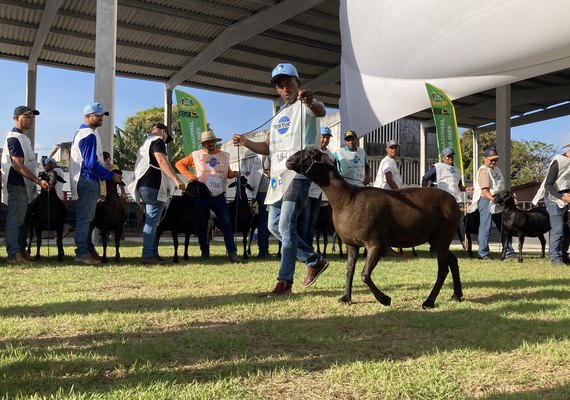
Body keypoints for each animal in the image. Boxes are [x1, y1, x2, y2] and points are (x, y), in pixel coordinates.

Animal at [286, 150, 464, 310]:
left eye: (311, 154)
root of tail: (455, 203)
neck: (346, 199)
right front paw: (345, 298)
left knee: (443, 270)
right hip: (437, 239)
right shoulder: (352, 244)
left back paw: (429, 302)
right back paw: (457, 295)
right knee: (453, 262)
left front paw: (385, 299)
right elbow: (350, 270)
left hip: (443, 236)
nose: (289, 160)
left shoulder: (375, 243)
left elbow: (365, 275)